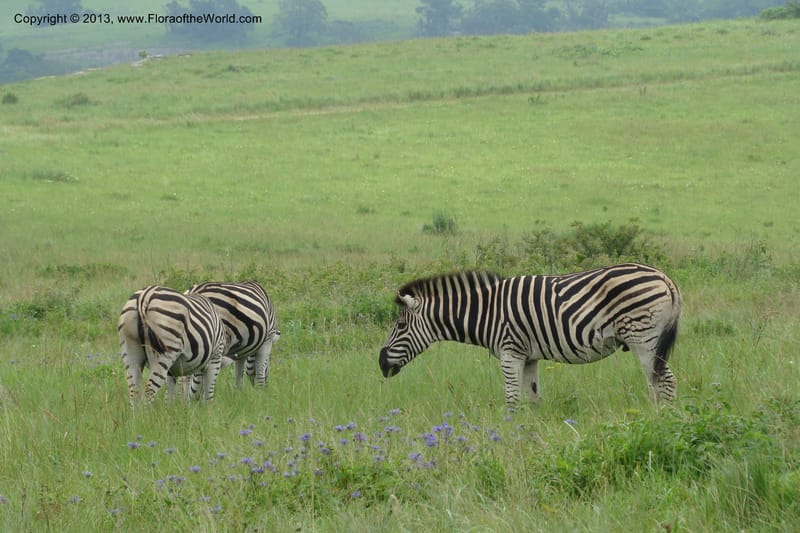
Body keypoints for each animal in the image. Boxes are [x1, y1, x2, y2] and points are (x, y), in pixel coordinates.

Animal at [379, 263, 681, 404]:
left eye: (400, 326)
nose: (381, 363)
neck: (487, 312)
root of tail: (664, 277)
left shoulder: (510, 352)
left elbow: (511, 399)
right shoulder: (529, 357)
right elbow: (534, 398)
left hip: (643, 338)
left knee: (664, 381)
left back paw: (659, 417)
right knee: (660, 381)